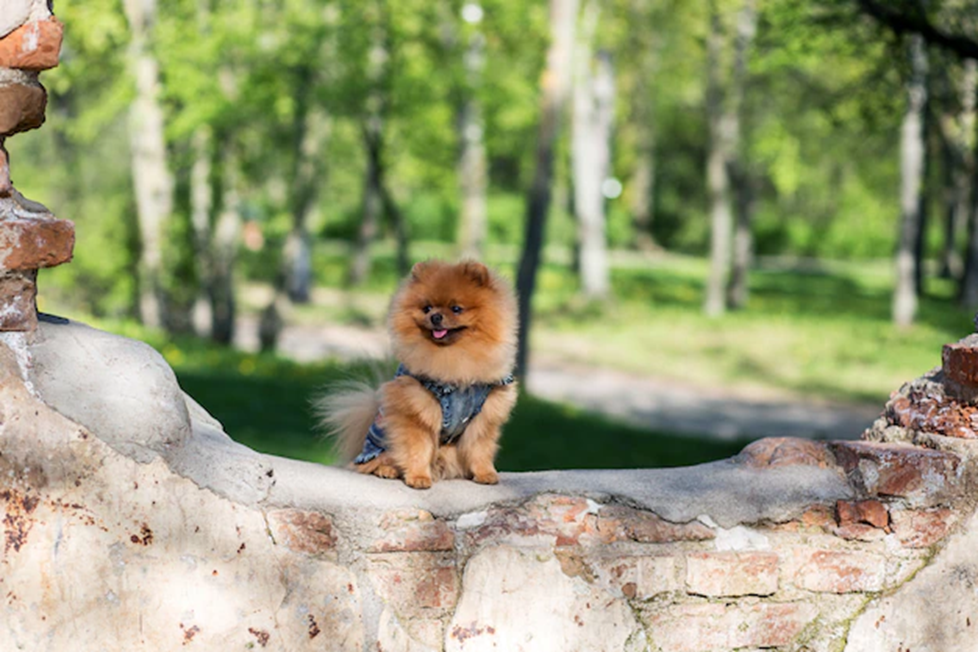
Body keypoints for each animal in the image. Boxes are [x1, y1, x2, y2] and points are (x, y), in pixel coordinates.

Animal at [318, 260, 520, 488]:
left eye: (456, 309)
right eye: (427, 308)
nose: (435, 316)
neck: (454, 358)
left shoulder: (484, 416)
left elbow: (480, 449)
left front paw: (485, 474)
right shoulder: (416, 413)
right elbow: (417, 449)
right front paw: (418, 477)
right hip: (382, 446)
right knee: (373, 463)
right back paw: (387, 470)